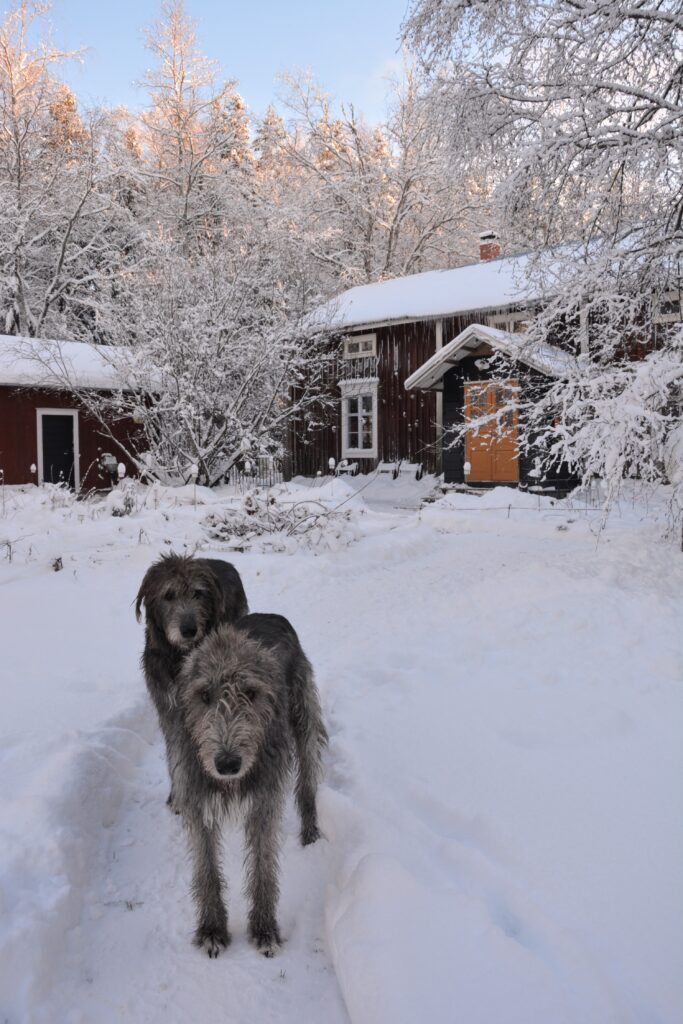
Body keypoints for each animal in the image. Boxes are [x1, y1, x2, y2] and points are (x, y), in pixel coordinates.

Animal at [135, 552, 249, 806]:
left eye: (198, 593)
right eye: (169, 595)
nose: (189, 629)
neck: (181, 654)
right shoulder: (169, 707)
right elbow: (177, 752)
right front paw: (180, 796)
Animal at [174, 614, 327, 958]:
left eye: (251, 692)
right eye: (204, 695)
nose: (227, 764)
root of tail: (272, 615)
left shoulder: (264, 800)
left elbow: (263, 866)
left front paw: (264, 929)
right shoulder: (196, 797)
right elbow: (206, 868)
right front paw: (212, 930)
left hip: (303, 715)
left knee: (307, 781)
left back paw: (310, 831)